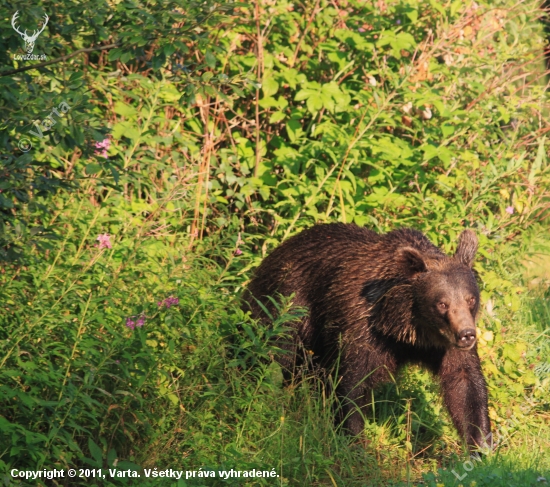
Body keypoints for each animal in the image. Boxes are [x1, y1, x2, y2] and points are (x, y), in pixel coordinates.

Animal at [245, 223, 492, 452]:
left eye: (470, 299)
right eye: (442, 303)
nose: (467, 334)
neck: (404, 328)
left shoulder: (443, 346)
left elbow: (464, 384)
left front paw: (480, 446)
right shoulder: (363, 328)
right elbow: (352, 384)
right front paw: (355, 440)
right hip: (288, 305)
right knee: (274, 355)